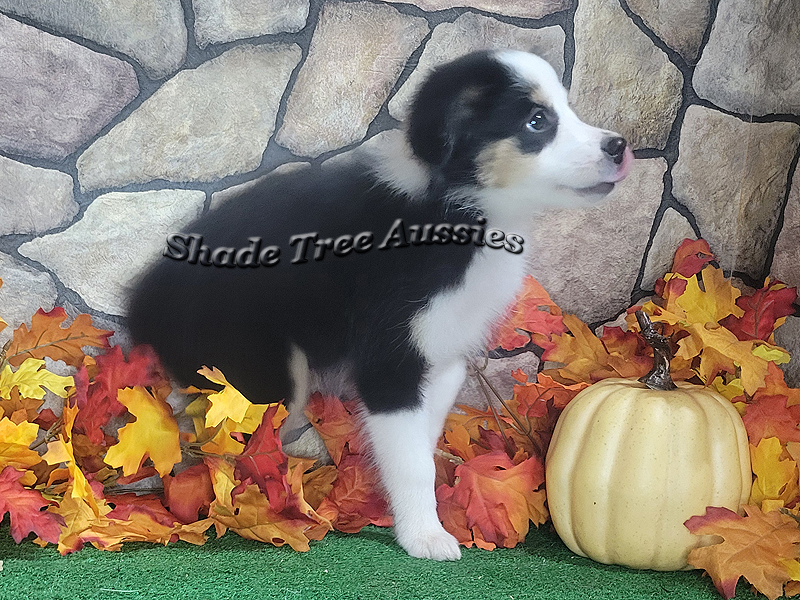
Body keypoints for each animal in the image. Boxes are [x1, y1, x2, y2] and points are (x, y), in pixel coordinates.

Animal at [128, 51, 636, 564]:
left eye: (567, 109)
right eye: (537, 121)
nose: (619, 146)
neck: (459, 214)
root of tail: (147, 296)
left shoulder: (443, 358)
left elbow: (418, 448)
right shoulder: (389, 362)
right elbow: (413, 463)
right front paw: (426, 537)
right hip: (264, 369)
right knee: (230, 441)